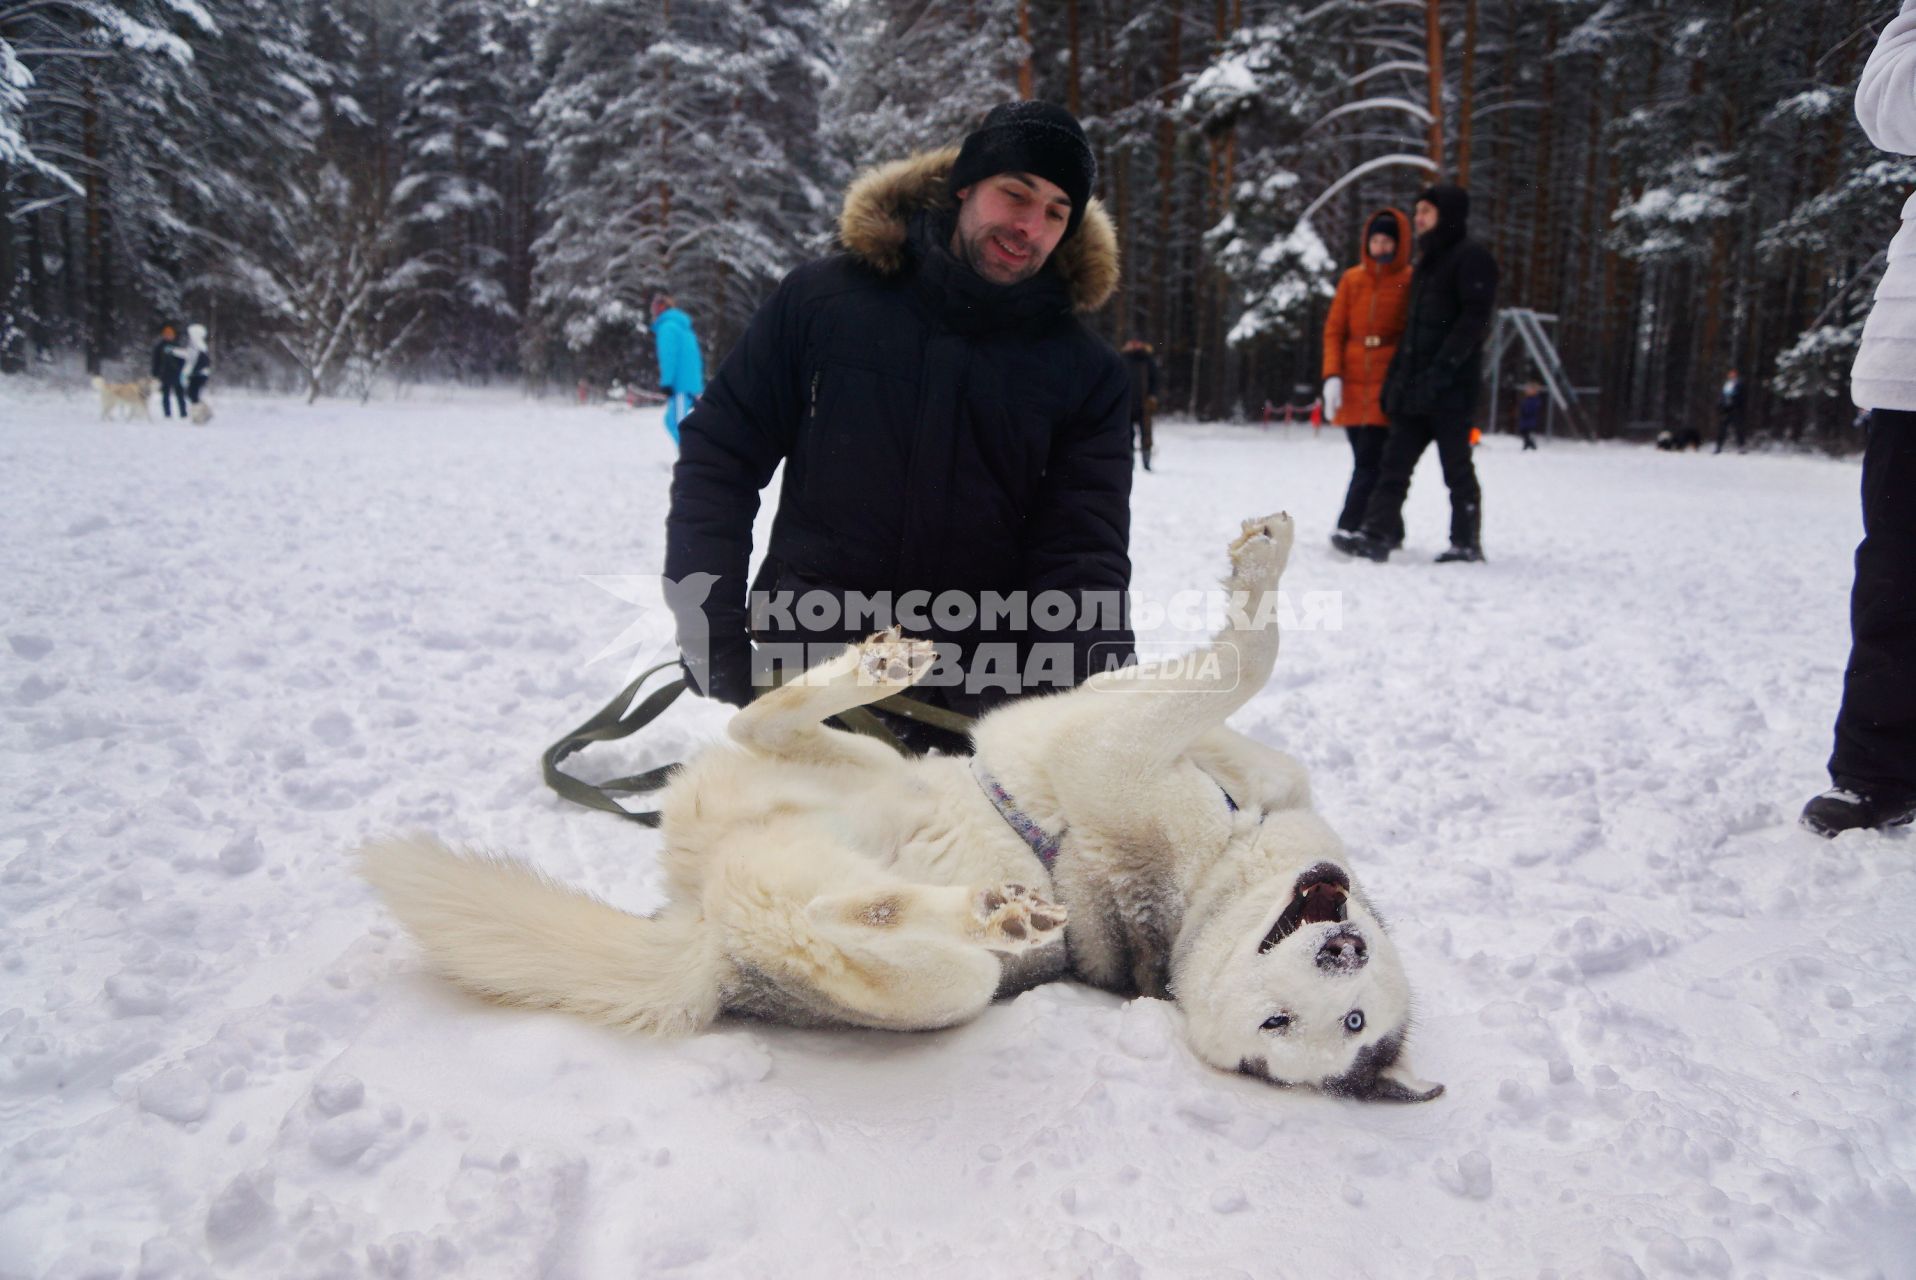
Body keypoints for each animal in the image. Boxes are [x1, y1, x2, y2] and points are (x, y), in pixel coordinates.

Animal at [360, 513, 1440, 1103]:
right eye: (1293, 1017)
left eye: (1338, 1022)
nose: (1343, 944)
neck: (1214, 879)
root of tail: (703, 927)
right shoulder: (1127, 725)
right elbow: (1246, 688)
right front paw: (1260, 569)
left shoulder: (1115, 742)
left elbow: (1243, 667)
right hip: (874, 767)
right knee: (760, 722)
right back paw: (874, 671)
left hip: (938, 979)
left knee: (847, 915)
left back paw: (988, 910)